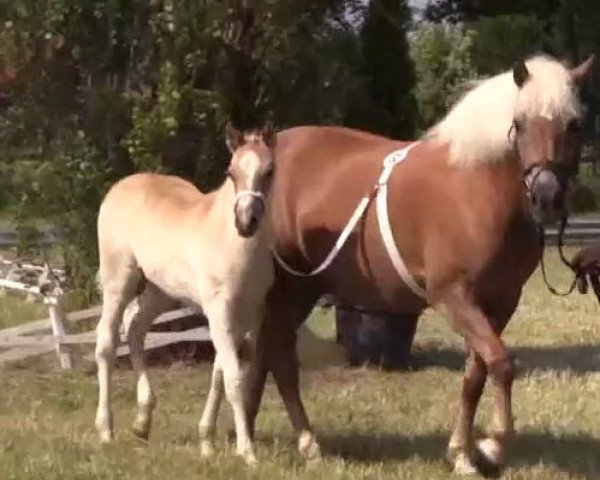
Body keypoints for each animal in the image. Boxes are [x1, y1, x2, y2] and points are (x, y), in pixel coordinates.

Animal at [94, 124, 276, 464]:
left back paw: (142, 422)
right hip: (119, 279)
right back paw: (106, 430)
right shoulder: (219, 313)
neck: (235, 246)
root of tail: (120, 187)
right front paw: (247, 452)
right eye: (230, 172)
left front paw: (207, 443)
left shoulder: (248, 316)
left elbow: (220, 373)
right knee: (107, 341)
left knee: (135, 327)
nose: (246, 222)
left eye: (269, 170)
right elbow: (233, 379)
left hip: (161, 290)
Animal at [244, 54, 596, 474]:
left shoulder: (500, 302)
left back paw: (267, 435)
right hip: (290, 289)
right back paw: (287, 441)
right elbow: (501, 362)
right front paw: (493, 445)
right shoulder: (453, 296)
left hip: (302, 291)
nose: (546, 197)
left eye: (574, 124)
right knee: (277, 355)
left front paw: (462, 452)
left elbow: (476, 375)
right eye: (520, 122)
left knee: (270, 351)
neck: (477, 187)